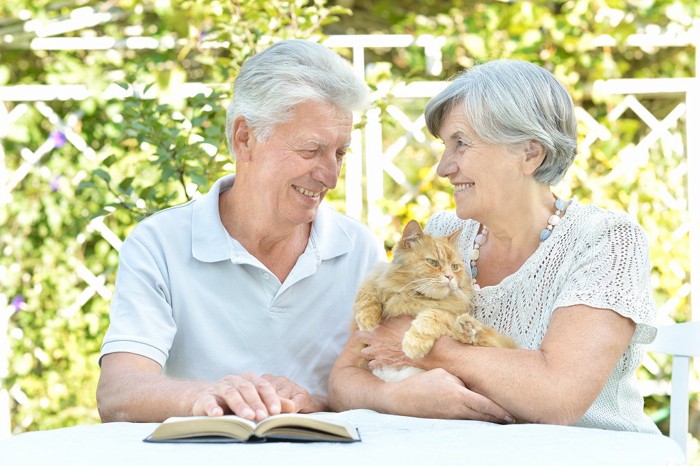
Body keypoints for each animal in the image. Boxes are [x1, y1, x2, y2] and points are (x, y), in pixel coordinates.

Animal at [356, 220, 516, 380]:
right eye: (433, 263)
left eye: (454, 267)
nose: (450, 276)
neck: (419, 298)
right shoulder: (379, 277)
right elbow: (368, 290)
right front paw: (367, 319)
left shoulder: (443, 312)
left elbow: (433, 315)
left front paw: (414, 343)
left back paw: (468, 328)